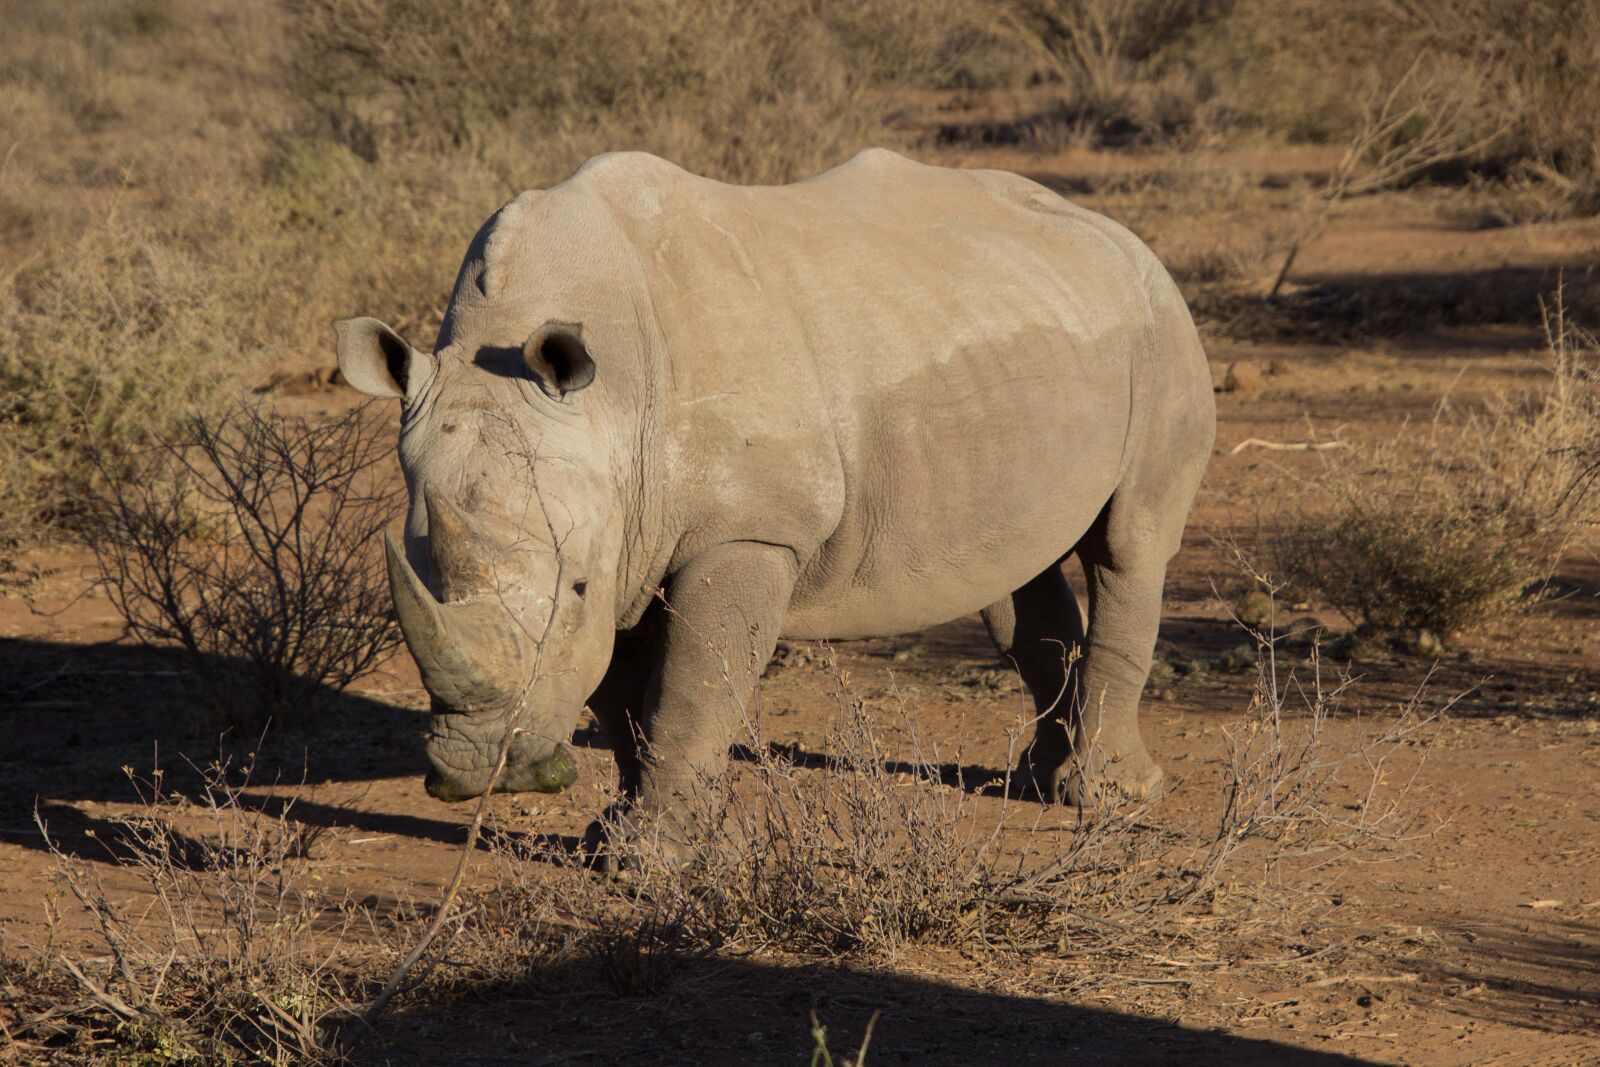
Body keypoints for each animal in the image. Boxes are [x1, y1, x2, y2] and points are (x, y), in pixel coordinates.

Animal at [336, 149, 1214, 847]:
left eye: (575, 588)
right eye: (421, 579)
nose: (488, 768)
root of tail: (1116, 231)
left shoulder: (748, 528)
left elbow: (695, 680)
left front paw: (652, 858)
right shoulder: (623, 526)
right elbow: (621, 693)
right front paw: (618, 835)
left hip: (1161, 323)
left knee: (1129, 543)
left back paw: (1109, 796)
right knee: (1015, 568)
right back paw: (1035, 780)